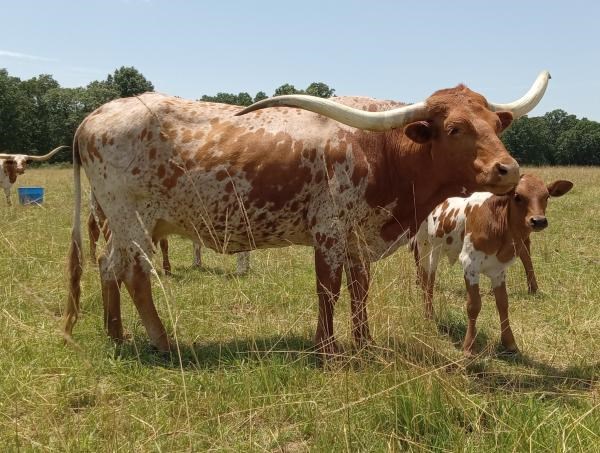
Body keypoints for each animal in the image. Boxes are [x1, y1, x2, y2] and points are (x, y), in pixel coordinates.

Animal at [413, 174, 572, 355]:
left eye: (546, 196)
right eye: (517, 196)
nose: (538, 221)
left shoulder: (499, 271)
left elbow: (503, 303)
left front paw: (509, 342)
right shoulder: (470, 264)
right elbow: (474, 305)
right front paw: (469, 346)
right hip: (426, 246)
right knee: (428, 281)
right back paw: (429, 314)